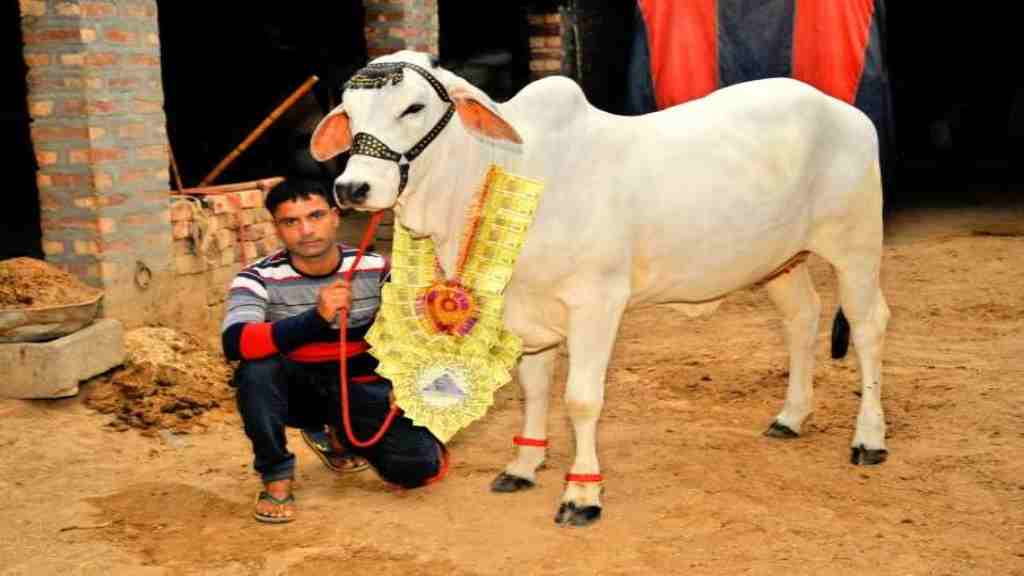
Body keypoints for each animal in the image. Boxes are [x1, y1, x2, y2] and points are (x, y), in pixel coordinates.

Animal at [310, 50, 890, 526]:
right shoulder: (527, 312)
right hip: (780, 261)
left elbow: (581, 399)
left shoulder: (597, 303)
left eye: (413, 108)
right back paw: (791, 417)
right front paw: (523, 464)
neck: (512, 168)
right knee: (802, 319)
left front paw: (582, 494)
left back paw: (869, 437)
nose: (352, 187)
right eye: (350, 113)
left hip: (856, 245)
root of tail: (845, 111)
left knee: (868, 328)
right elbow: (535, 390)